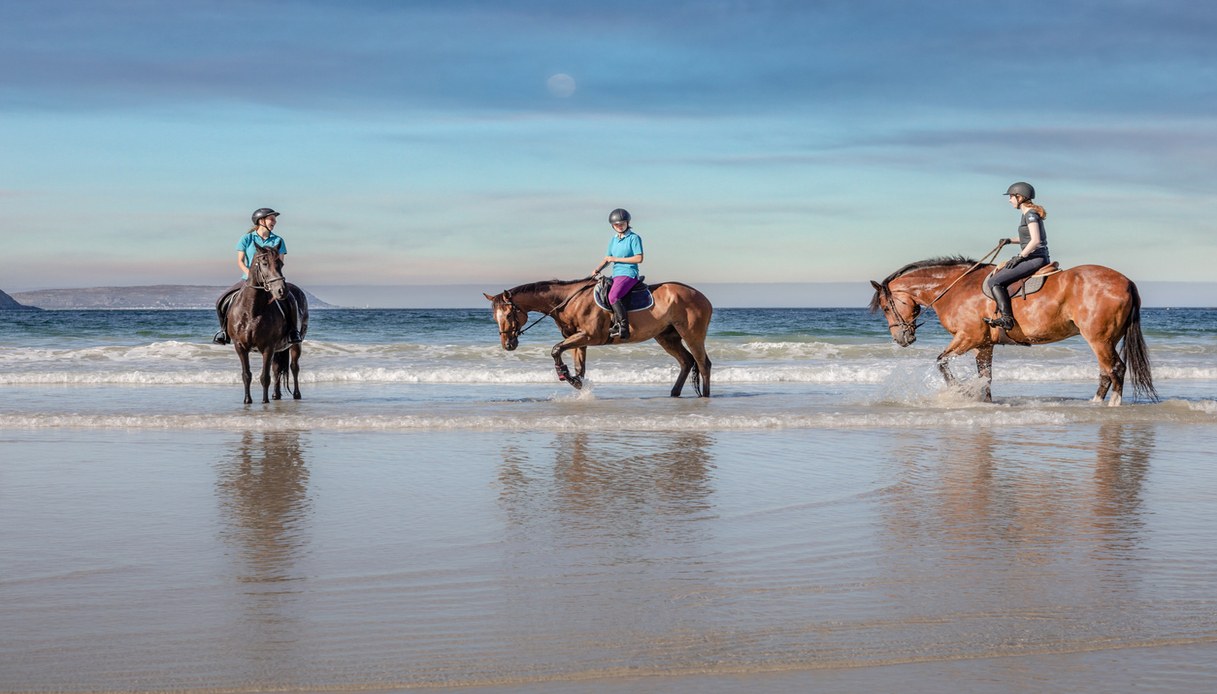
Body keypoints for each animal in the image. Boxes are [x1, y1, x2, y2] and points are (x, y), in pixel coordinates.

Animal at [224, 244, 310, 404]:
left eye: (280, 264)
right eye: (264, 263)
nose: (281, 290)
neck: (251, 310)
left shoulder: (268, 347)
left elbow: (265, 377)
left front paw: (264, 401)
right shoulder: (240, 346)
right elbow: (247, 375)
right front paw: (247, 400)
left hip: (296, 343)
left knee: (294, 367)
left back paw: (296, 394)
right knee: (277, 368)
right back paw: (276, 395)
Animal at [484, 277, 713, 397]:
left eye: (509, 314)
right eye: (495, 317)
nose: (507, 344)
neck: (569, 301)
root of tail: (703, 297)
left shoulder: (588, 336)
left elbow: (556, 349)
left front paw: (567, 376)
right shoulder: (579, 341)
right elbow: (579, 367)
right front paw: (577, 383)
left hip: (691, 333)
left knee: (703, 363)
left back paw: (706, 396)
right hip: (667, 337)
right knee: (686, 361)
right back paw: (674, 393)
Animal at [869, 257, 1156, 406]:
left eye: (886, 307)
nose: (901, 339)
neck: (956, 288)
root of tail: (1126, 281)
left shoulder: (968, 337)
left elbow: (941, 362)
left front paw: (961, 392)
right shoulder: (983, 344)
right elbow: (985, 376)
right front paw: (983, 401)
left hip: (1099, 339)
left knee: (1116, 368)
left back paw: (1112, 406)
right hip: (1105, 339)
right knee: (1106, 371)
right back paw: (1095, 404)